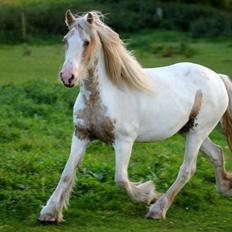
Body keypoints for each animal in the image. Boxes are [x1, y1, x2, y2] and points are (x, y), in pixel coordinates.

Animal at [39, 10, 232, 223]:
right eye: (66, 40)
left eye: (87, 42)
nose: (67, 77)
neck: (104, 96)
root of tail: (217, 77)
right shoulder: (81, 134)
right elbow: (67, 173)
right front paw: (50, 212)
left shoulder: (124, 141)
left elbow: (121, 179)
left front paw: (148, 194)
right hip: (189, 129)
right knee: (216, 153)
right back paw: (226, 188)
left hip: (198, 131)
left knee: (187, 169)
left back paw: (157, 209)